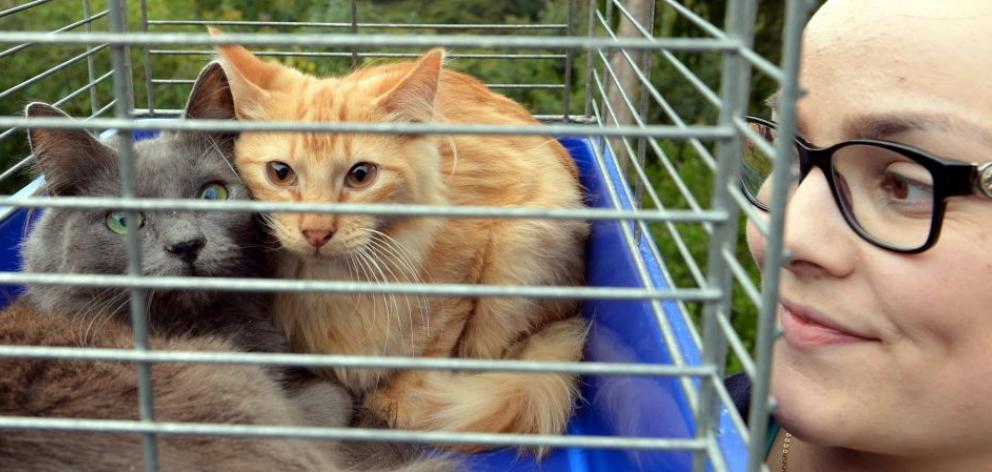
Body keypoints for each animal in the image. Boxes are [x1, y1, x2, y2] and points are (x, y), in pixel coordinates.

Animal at [212, 34, 588, 450]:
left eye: (361, 175)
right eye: (280, 173)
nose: (317, 231)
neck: (336, 284)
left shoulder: (458, 287)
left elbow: (425, 355)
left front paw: (396, 404)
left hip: (520, 257)